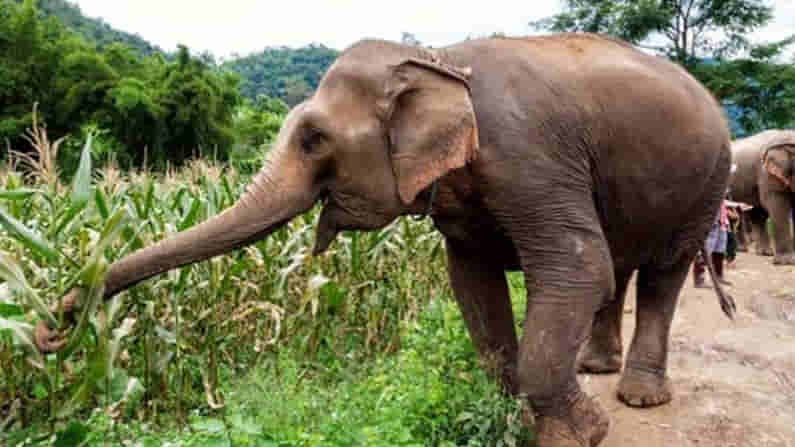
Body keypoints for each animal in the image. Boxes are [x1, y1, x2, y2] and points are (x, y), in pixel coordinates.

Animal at [34, 33, 735, 447]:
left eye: (314, 139)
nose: (50, 327)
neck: (438, 56)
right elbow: (472, 283)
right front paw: (510, 420)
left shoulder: (530, 154)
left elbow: (575, 268)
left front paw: (579, 435)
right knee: (621, 267)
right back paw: (596, 369)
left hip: (707, 183)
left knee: (661, 271)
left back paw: (639, 396)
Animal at [729, 129, 795, 265]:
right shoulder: (767, 173)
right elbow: (777, 204)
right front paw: (786, 261)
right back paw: (742, 250)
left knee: (757, 214)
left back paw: (765, 253)